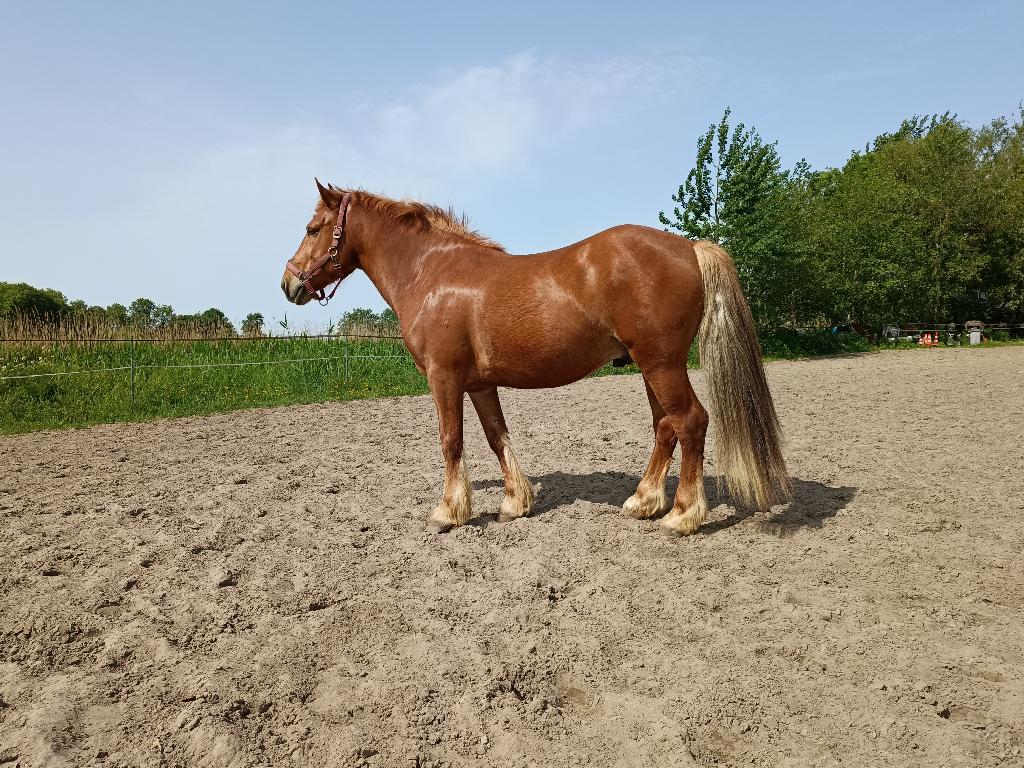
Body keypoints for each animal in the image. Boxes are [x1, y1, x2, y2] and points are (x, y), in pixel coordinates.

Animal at [281, 180, 791, 535]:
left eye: (311, 229)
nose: (288, 284)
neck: (432, 272)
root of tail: (688, 246)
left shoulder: (443, 377)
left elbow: (451, 440)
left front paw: (448, 512)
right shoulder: (479, 383)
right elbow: (496, 436)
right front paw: (514, 502)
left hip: (660, 363)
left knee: (690, 421)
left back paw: (682, 515)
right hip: (652, 367)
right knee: (665, 427)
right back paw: (644, 501)